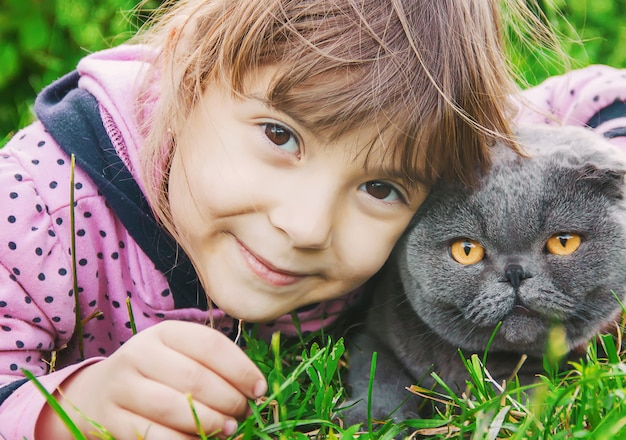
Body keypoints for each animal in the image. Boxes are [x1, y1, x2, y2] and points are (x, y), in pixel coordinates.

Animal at [344, 124, 624, 422]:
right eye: (466, 250)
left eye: (563, 242)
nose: (515, 273)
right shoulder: (375, 335)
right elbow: (378, 374)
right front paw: (375, 419)